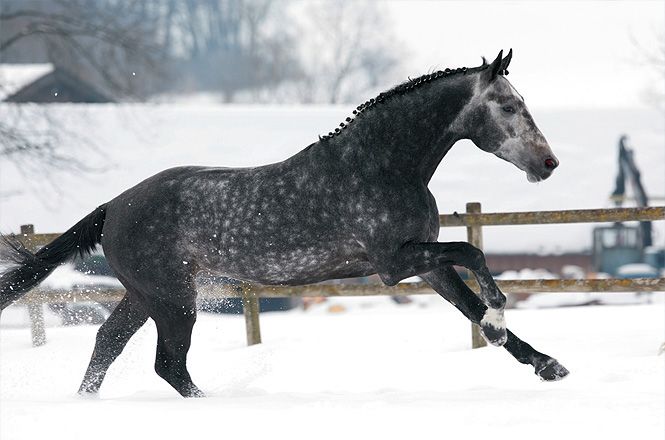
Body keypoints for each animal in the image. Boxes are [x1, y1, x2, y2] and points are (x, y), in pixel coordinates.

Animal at [2, 49, 568, 398]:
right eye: (508, 106)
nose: (548, 164)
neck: (380, 164)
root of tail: (113, 206)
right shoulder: (393, 262)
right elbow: (474, 256)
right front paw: (498, 322)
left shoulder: (424, 262)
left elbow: (468, 300)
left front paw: (547, 365)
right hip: (172, 298)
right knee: (168, 364)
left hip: (147, 294)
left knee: (108, 344)